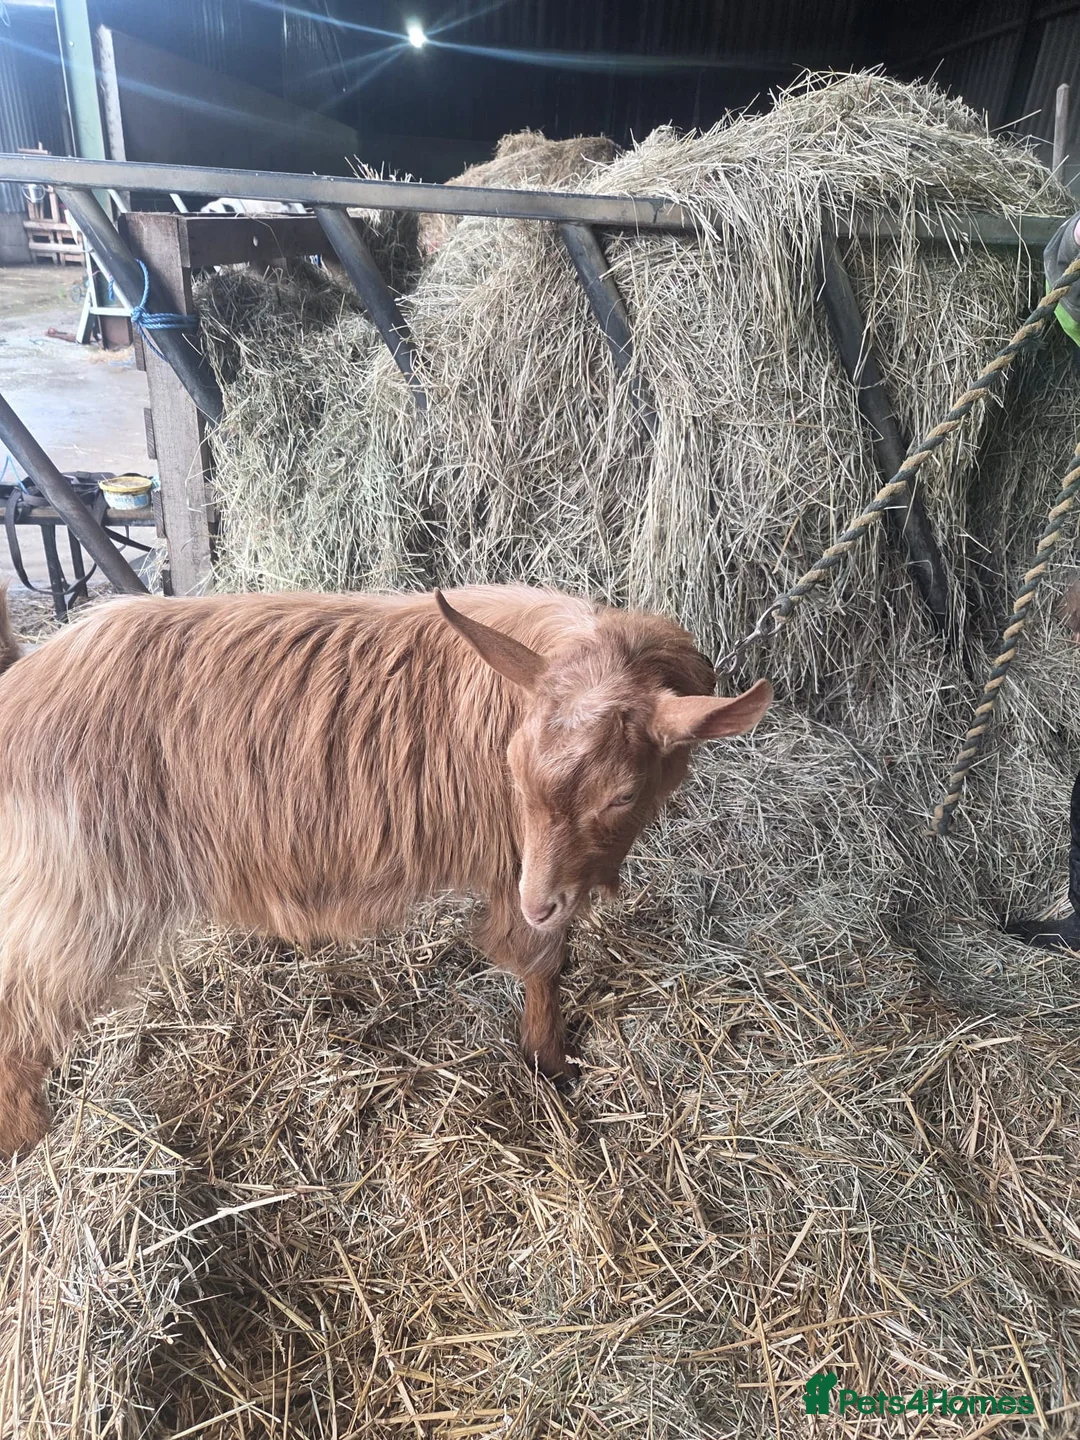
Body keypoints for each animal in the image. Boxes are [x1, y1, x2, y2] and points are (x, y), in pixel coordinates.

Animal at [0, 584, 771, 1157]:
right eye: (514, 771)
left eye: (621, 795)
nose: (542, 901)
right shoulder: (515, 868)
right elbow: (540, 962)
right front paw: (549, 1063)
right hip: (78, 897)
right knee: (21, 1007)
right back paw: (26, 1139)